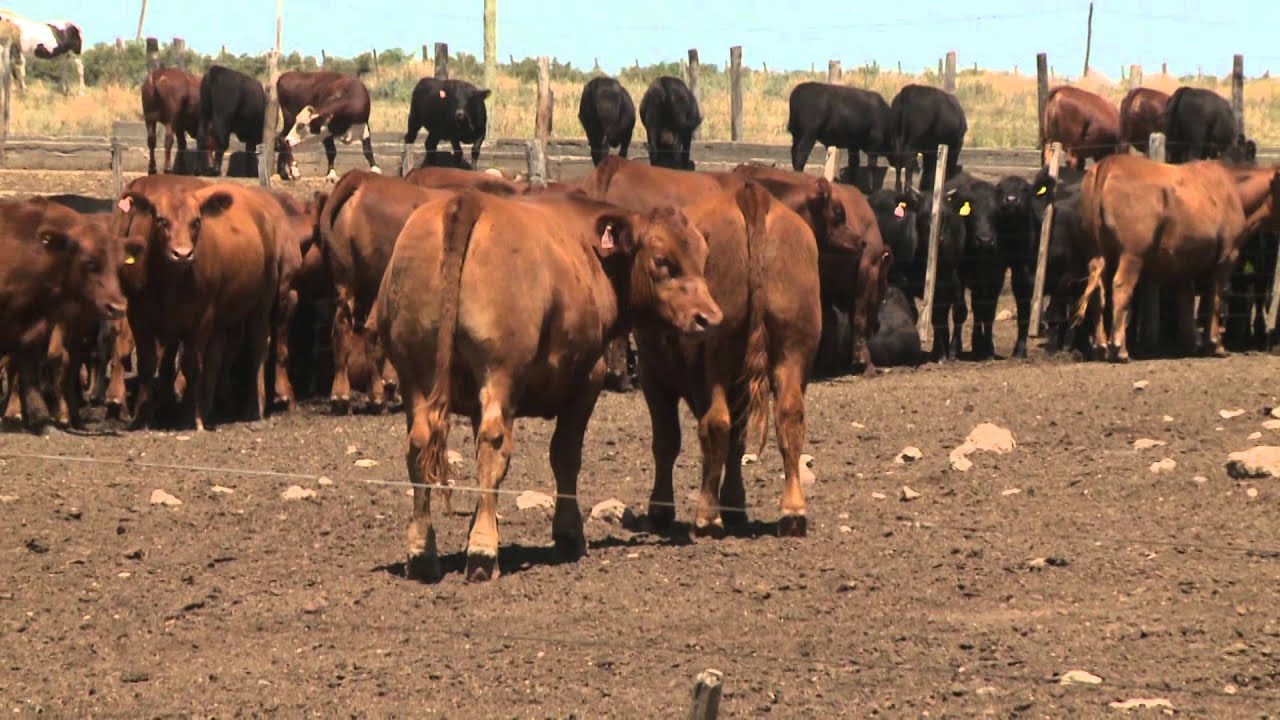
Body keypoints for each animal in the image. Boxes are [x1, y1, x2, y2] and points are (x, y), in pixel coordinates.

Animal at [113, 181, 284, 425]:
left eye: (196, 221)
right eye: (161, 220)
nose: (182, 254)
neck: (168, 283)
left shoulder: (201, 319)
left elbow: (191, 366)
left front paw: (188, 417)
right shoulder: (139, 317)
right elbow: (148, 365)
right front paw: (142, 416)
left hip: (260, 306)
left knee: (257, 349)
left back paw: (252, 408)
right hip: (223, 319)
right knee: (215, 360)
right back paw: (207, 407)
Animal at [316, 167, 453, 409]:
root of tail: (362, 178)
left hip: (345, 279)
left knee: (342, 326)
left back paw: (341, 394)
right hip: (377, 281)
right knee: (372, 330)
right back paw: (376, 395)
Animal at [376, 189, 721, 576]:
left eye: (702, 257)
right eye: (662, 260)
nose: (709, 318)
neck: (592, 253)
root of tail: (467, 201)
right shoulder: (587, 377)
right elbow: (565, 455)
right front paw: (568, 535)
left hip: (416, 374)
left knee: (421, 444)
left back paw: (422, 553)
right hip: (500, 371)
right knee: (493, 444)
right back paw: (482, 553)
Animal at [586, 156, 819, 535]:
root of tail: (751, 198)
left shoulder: (653, 375)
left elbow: (667, 440)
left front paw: (661, 509)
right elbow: (737, 442)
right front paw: (736, 504)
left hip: (718, 359)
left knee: (716, 423)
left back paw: (707, 516)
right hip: (792, 352)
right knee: (788, 418)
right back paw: (792, 511)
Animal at [1080, 155, 1280, 358]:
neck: (1234, 191)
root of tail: (1110, 162)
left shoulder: (1185, 263)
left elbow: (1186, 301)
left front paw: (1189, 344)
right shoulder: (1228, 256)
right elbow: (1216, 297)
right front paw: (1216, 345)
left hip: (1096, 251)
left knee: (1098, 291)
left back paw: (1101, 346)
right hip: (1131, 254)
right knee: (1121, 287)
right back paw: (1119, 349)